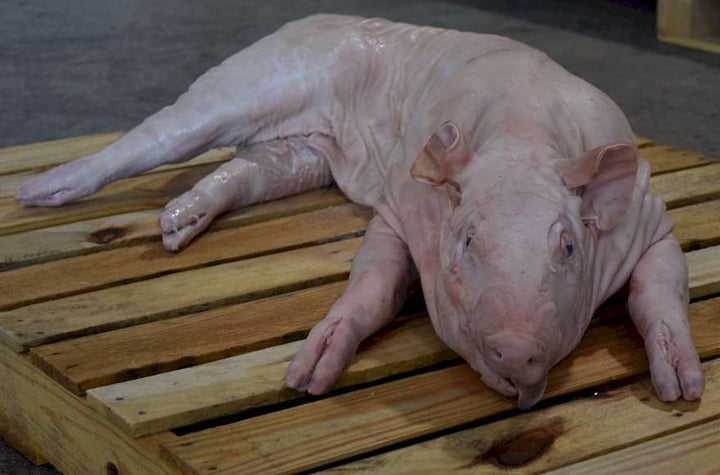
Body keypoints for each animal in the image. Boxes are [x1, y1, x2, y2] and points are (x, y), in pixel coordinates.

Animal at [16, 14, 704, 408]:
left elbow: (664, 288)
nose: (515, 348)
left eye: (566, 246)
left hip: (305, 154)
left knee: (257, 164)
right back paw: (37, 191)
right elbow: (372, 279)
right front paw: (307, 378)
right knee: (164, 130)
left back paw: (175, 228)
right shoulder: (399, 207)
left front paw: (682, 389)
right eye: (467, 240)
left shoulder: (652, 218)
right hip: (250, 78)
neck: (521, 135)